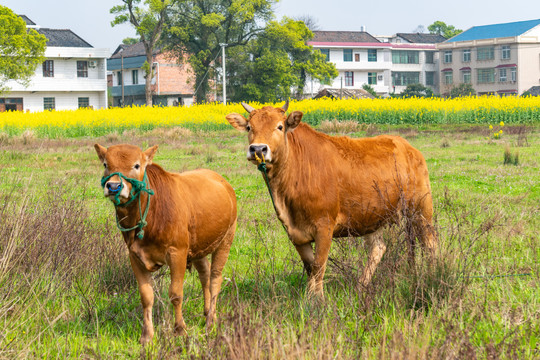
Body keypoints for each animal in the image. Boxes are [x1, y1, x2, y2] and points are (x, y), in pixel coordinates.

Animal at [94, 143, 236, 344]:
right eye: (106, 164)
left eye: (137, 165)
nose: (113, 186)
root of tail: (224, 182)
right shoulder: (135, 257)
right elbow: (146, 297)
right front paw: (147, 336)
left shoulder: (177, 253)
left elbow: (175, 294)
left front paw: (180, 330)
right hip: (197, 249)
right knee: (205, 275)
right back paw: (208, 311)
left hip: (226, 240)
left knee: (215, 278)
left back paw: (210, 322)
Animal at [226, 102, 436, 298]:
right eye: (249, 127)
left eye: (279, 126)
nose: (258, 149)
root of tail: (405, 145)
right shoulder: (295, 232)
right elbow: (311, 267)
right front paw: (311, 297)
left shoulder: (324, 226)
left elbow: (319, 266)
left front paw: (317, 301)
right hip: (370, 216)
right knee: (378, 248)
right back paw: (360, 287)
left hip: (421, 208)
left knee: (429, 244)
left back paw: (431, 274)